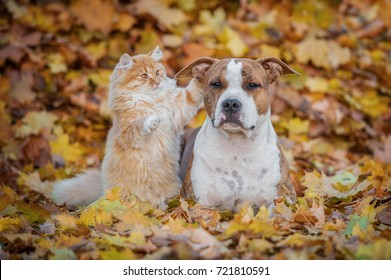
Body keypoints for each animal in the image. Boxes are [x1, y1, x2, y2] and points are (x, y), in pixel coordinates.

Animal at [52, 46, 204, 208]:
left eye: (157, 72)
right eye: (144, 75)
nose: (157, 82)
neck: (152, 101)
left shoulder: (178, 110)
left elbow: (191, 93)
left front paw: (201, 75)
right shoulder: (127, 133)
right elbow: (139, 125)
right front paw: (151, 120)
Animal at [177, 57, 300, 210]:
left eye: (253, 85)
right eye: (216, 84)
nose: (231, 103)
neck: (237, 146)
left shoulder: (285, 196)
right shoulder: (196, 201)